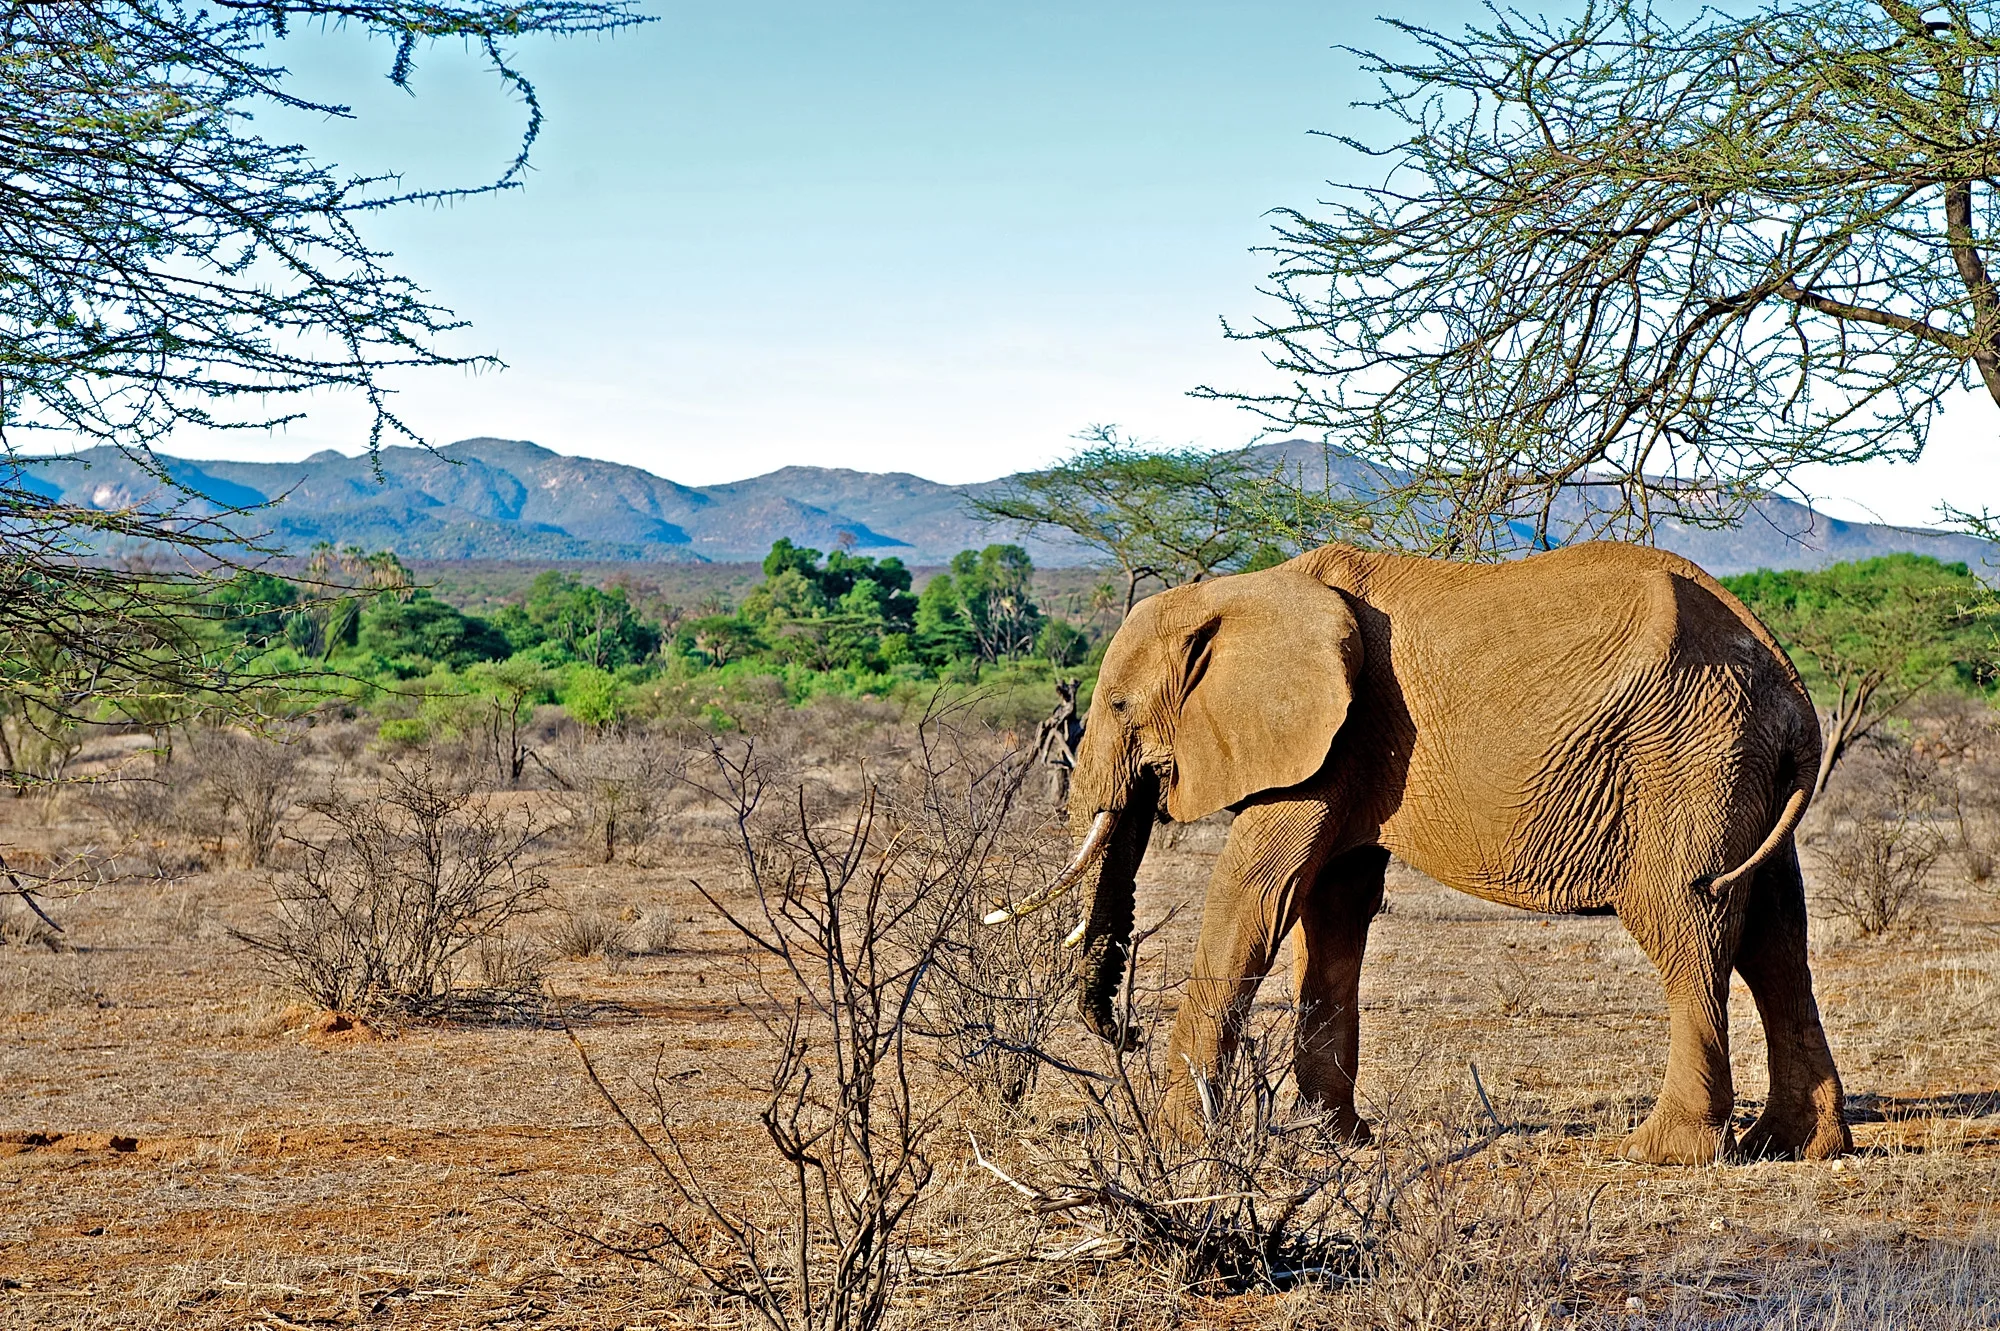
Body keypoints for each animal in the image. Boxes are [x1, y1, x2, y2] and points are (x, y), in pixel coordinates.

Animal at [988, 541, 1850, 1165]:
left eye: (1119, 705)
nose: (1124, 1033)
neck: (1245, 589)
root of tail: (1795, 691)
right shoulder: (1351, 746)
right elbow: (1332, 908)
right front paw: (1333, 1140)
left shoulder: (1332, 737)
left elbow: (1254, 895)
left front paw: (1175, 1141)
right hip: (1741, 765)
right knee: (1777, 939)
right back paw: (1796, 1145)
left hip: (1688, 759)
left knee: (1688, 925)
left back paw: (1659, 1152)